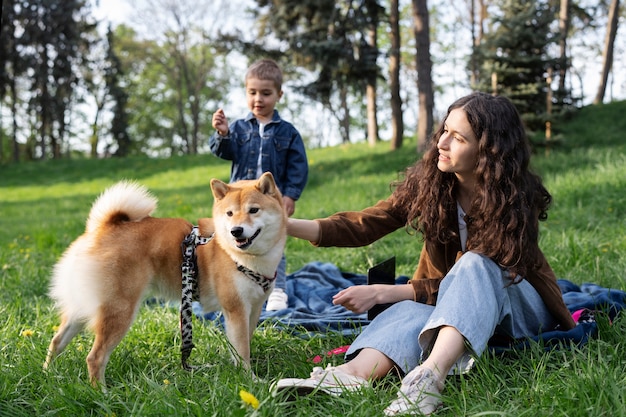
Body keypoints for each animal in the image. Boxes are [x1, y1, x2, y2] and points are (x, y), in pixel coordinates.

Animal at [43, 171, 286, 386]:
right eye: (230, 214)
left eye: (253, 210)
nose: (236, 231)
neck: (240, 255)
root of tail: (102, 228)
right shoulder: (236, 308)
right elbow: (243, 349)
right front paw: (250, 380)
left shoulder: (253, 308)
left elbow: (242, 344)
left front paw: (238, 369)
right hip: (119, 310)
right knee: (95, 357)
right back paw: (102, 393)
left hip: (84, 306)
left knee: (57, 341)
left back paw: (48, 373)